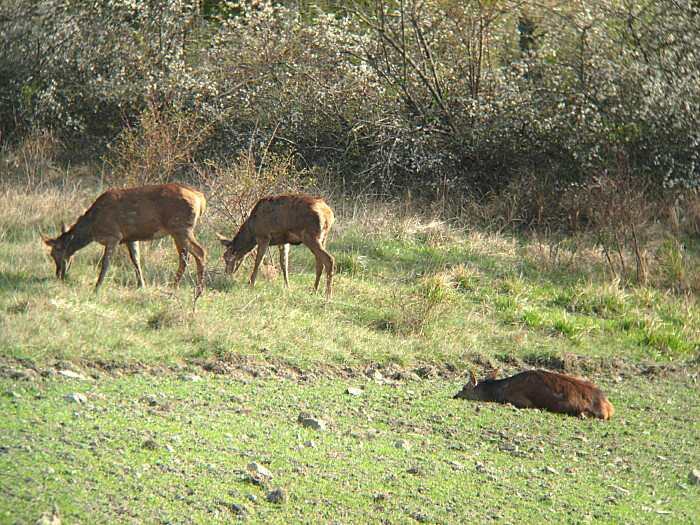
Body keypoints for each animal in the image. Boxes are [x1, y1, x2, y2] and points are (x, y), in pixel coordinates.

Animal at [40, 182, 205, 292]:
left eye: (54, 254)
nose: (59, 275)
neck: (93, 225)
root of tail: (200, 198)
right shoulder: (131, 237)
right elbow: (136, 260)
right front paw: (141, 285)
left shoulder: (113, 235)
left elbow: (105, 262)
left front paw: (97, 287)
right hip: (178, 230)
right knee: (185, 256)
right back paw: (175, 285)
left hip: (181, 227)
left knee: (200, 252)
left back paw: (198, 288)